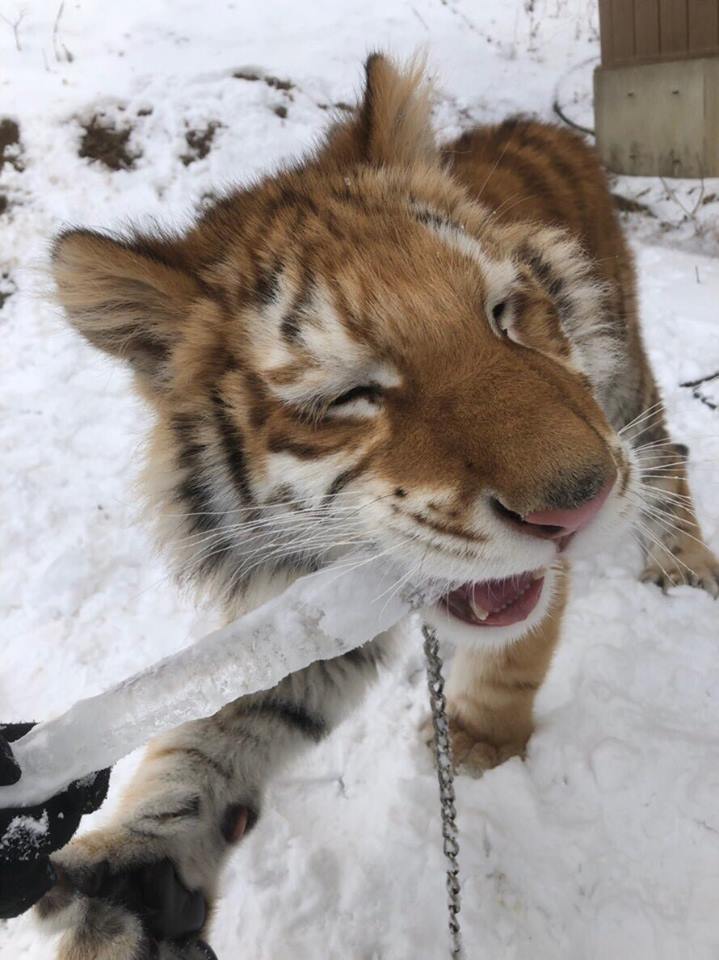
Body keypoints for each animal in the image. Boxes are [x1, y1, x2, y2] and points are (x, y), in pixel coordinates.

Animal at [36, 54, 716, 960]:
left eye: (501, 314)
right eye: (350, 394)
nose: (580, 505)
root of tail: (536, 124)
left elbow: (514, 653)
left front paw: (477, 742)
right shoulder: (322, 593)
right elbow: (239, 719)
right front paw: (139, 872)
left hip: (625, 380)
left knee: (666, 454)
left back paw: (684, 564)